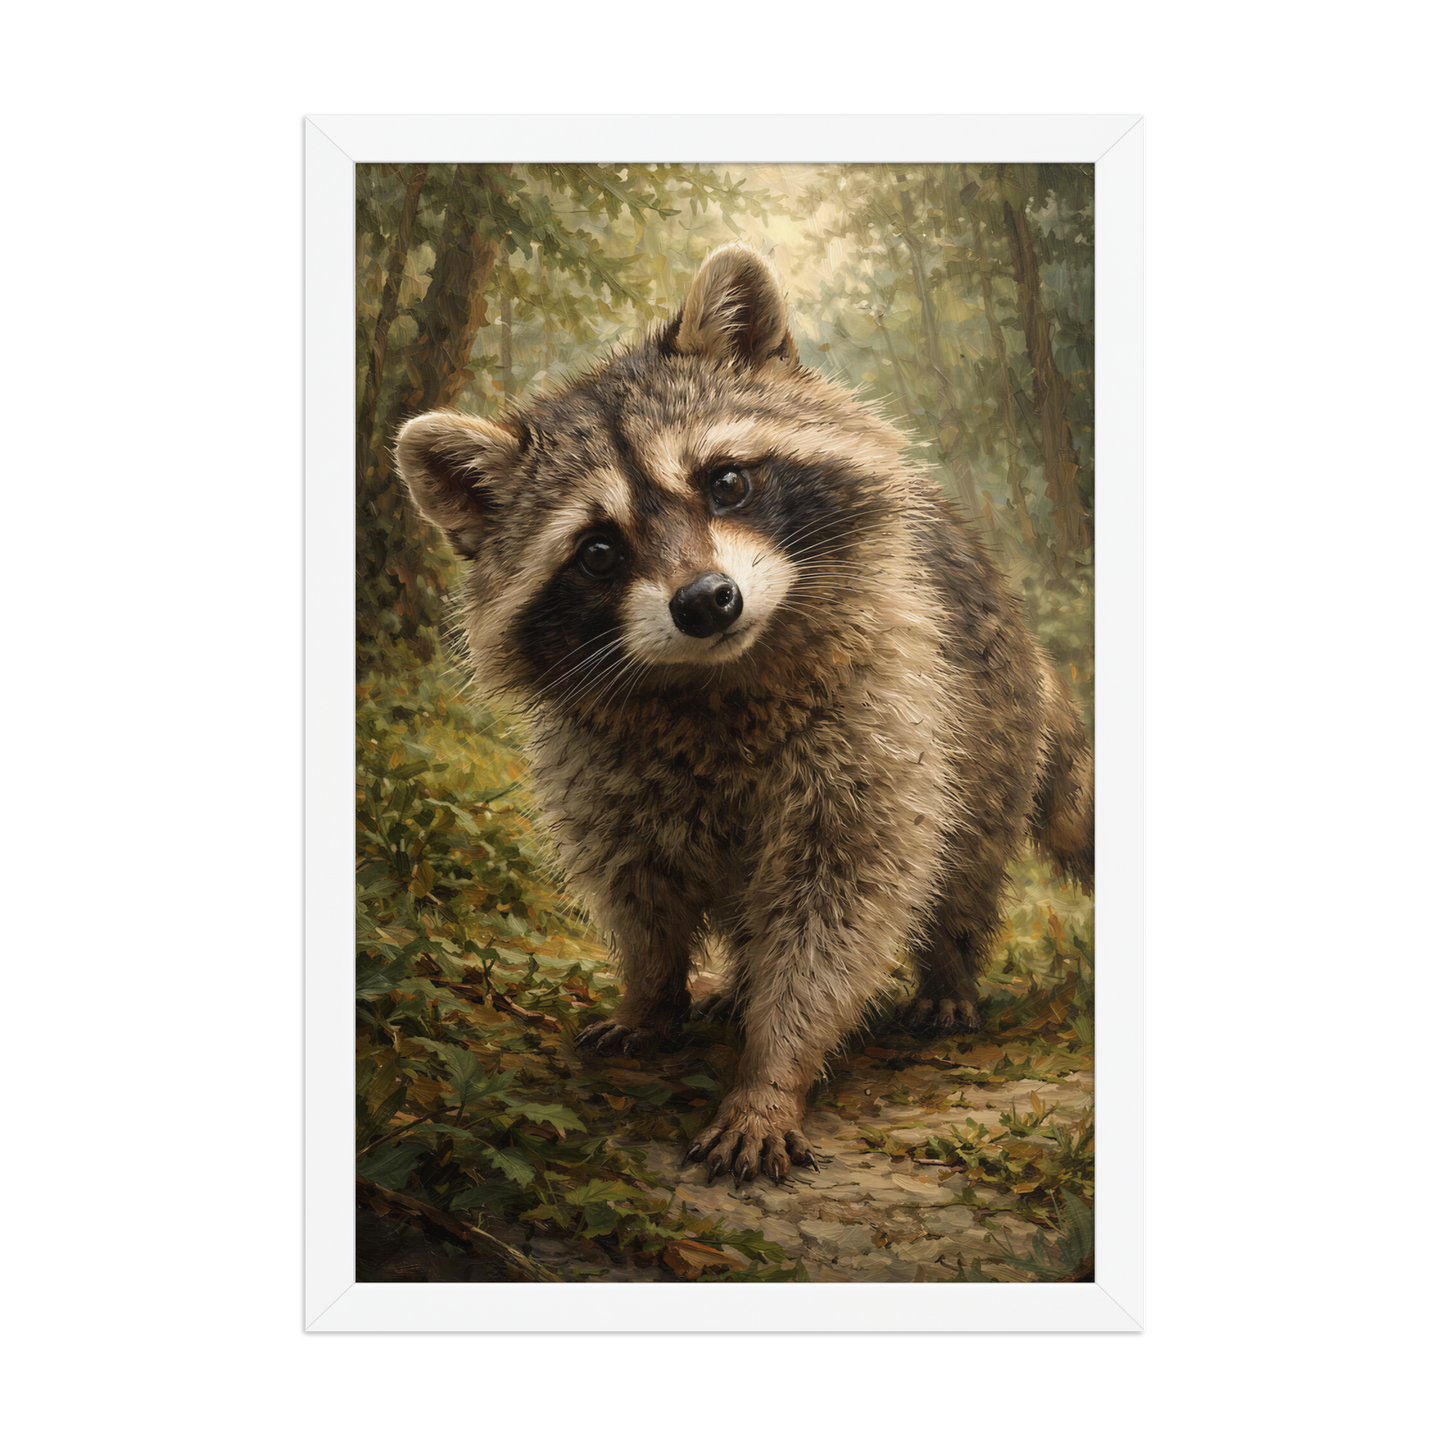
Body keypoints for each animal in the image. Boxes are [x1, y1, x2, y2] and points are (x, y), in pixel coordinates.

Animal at [395, 243, 1093, 1186]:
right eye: (597, 550)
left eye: (725, 481)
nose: (705, 601)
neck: (714, 680)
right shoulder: (597, 766)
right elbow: (636, 889)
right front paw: (651, 993)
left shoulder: (880, 718)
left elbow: (839, 907)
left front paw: (771, 1072)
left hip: (987, 722)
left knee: (965, 860)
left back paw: (947, 970)